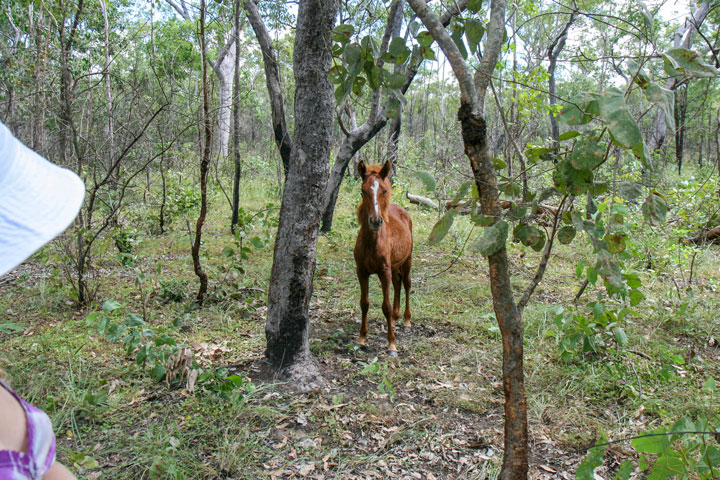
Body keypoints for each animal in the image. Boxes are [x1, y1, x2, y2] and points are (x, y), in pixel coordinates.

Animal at [352, 158, 414, 356]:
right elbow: (364, 303)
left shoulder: (383, 271)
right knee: (397, 283)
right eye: (363, 190)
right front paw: (361, 339)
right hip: (394, 267)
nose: (375, 221)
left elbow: (385, 306)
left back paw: (406, 321)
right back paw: (395, 319)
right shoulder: (361, 272)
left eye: (384, 190)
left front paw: (391, 344)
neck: (372, 243)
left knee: (406, 283)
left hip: (407, 260)